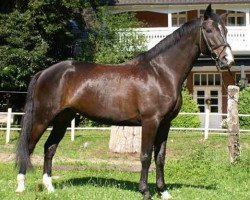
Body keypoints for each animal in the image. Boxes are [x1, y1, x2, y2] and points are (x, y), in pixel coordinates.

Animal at [16, 5, 234, 200]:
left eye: (225, 30)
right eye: (209, 30)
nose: (228, 60)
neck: (160, 72)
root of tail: (45, 72)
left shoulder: (165, 124)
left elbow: (160, 157)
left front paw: (163, 192)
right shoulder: (150, 122)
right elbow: (145, 156)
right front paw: (145, 192)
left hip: (63, 118)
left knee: (49, 148)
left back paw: (50, 187)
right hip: (42, 117)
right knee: (29, 146)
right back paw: (20, 187)